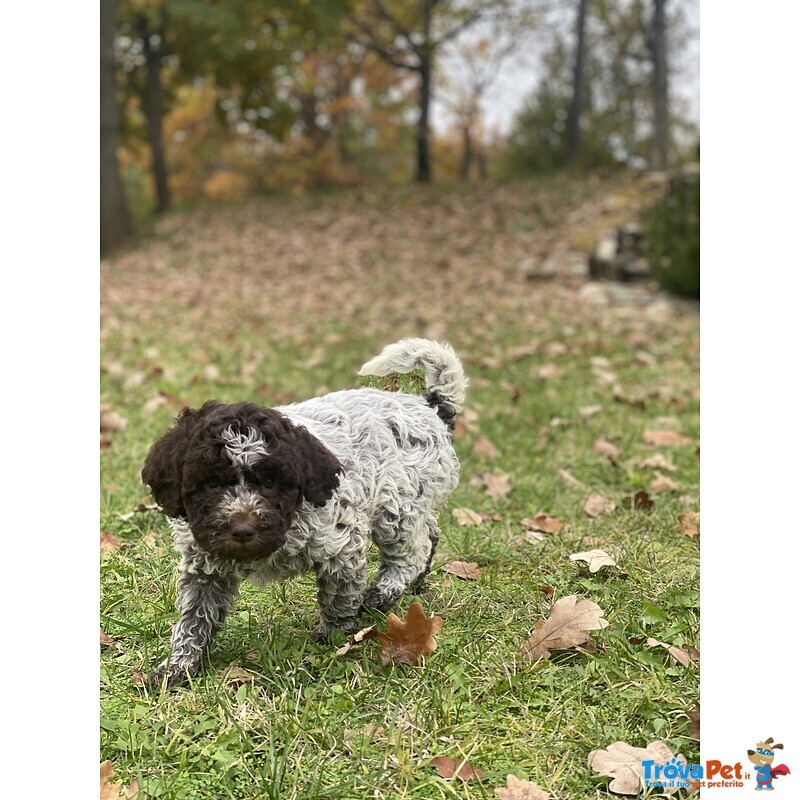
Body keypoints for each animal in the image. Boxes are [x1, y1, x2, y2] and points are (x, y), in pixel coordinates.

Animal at [141, 338, 466, 688]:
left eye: (270, 482)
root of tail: (431, 408)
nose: (242, 530)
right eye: (211, 482)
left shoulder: (342, 547)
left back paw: (380, 594)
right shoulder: (205, 566)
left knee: (411, 553)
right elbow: (195, 618)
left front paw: (332, 636)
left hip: (396, 507)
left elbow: (339, 597)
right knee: (430, 532)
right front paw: (179, 666)